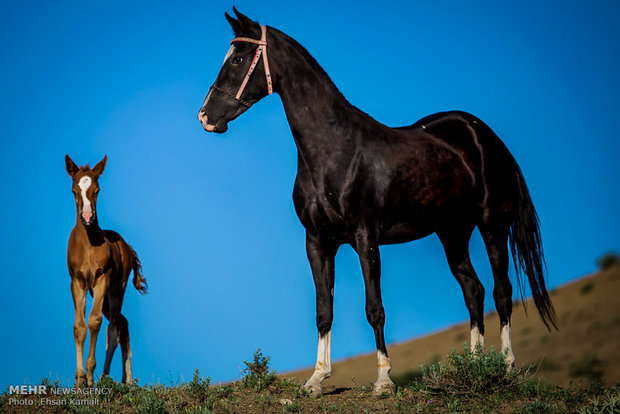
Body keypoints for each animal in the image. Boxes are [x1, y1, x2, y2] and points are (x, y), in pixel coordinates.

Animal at [65, 154, 147, 384]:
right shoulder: (77, 282)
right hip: (100, 294)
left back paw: (110, 378)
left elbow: (94, 322)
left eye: (97, 189)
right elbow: (79, 326)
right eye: (74, 190)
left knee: (114, 327)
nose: (87, 217)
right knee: (122, 323)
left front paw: (90, 376)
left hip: (116, 289)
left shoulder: (101, 278)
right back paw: (125, 380)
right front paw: (79, 380)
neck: (88, 244)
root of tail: (127, 247)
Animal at [199, 7, 556, 394]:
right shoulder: (318, 241)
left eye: (237, 58)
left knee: (501, 291)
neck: (335, 149)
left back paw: (504, 367)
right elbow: (323, 311)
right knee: (473, 291)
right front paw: (316, 379)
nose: (206, 116)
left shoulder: (365, 236)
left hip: (493, 225)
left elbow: (375, 308)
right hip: (453, 233)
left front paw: (384, 379)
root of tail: (484, 136)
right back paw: (475, 367)